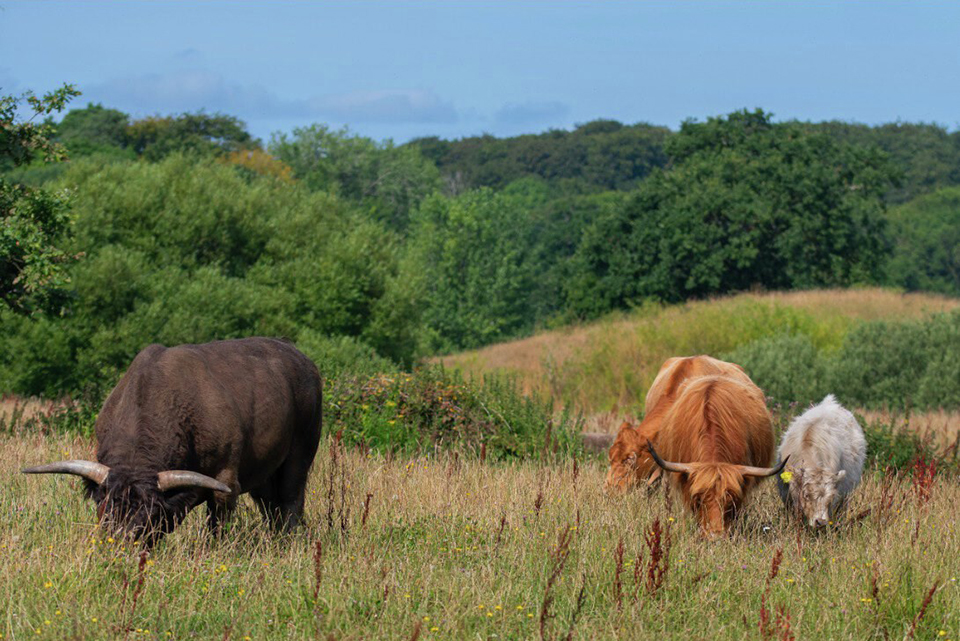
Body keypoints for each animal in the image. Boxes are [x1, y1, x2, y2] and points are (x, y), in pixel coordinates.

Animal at [21, 338, 322, 544]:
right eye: (105, 508)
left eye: (152, 514)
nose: (124, 543)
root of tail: (301, 359)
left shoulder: (225, 482)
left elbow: (218, 525)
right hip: (265, 473)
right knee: (270, 507)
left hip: (300, 453)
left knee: (291, 502)